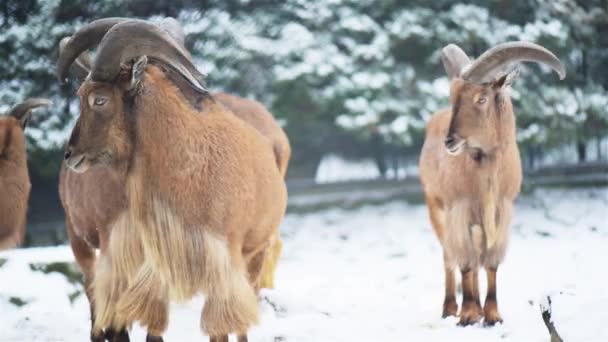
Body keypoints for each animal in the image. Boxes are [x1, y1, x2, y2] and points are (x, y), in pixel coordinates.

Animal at [418, 42, 564, 326]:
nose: (450, 141)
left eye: (481, 98)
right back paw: (451, 307)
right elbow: (464, 262)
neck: (486, 174)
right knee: (449, 257)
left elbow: (490, 263)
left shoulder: (501, 212)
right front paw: (467, 314)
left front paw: (492, 314)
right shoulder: (459, 210)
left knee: (474, 260)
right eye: (453, 97)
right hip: (436, 208)